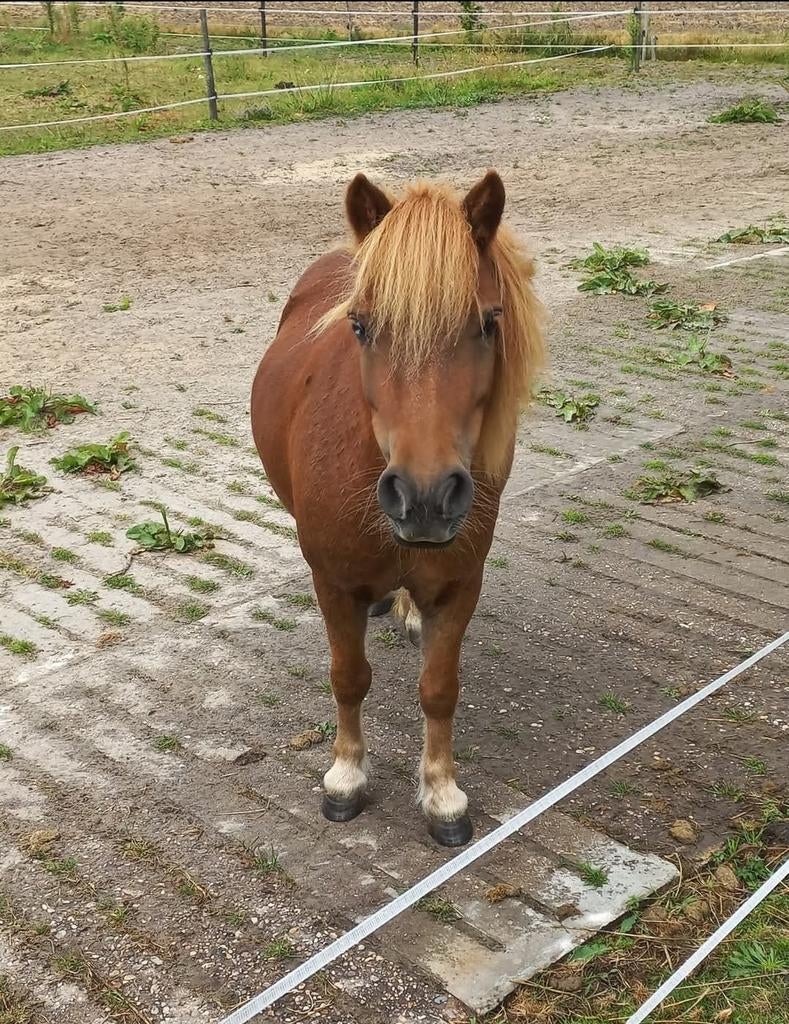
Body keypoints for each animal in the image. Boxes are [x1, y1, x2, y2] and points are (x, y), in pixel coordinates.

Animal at [251, 171, 545, 846]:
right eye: (361, 327)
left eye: (488, 322)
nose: (425, 497)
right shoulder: (333, 584)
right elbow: (348, 676)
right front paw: (345, 778)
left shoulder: (460, 584)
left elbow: (439, 689)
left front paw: (442, 794)